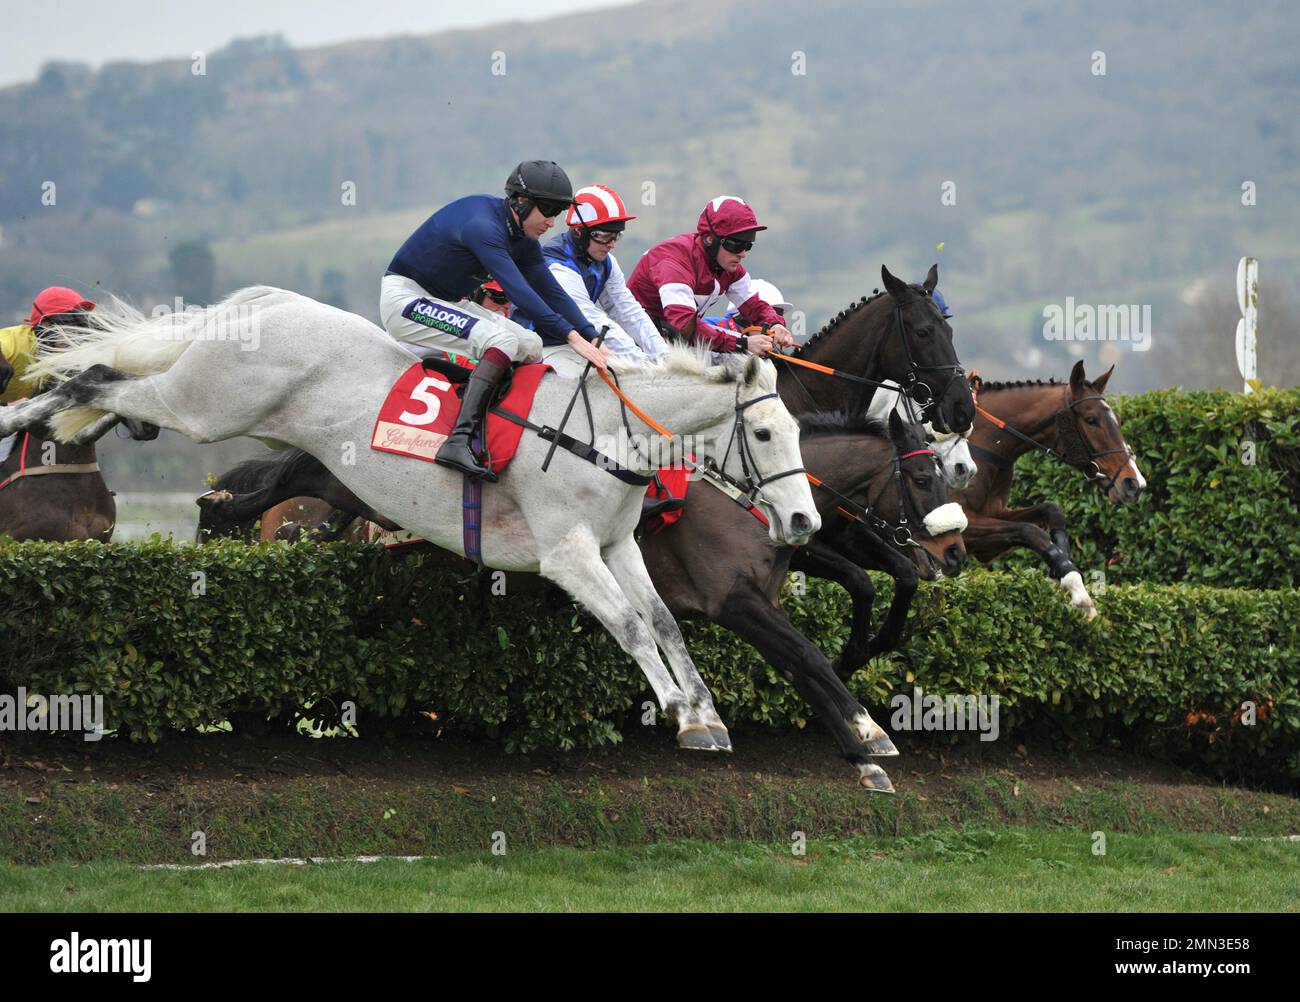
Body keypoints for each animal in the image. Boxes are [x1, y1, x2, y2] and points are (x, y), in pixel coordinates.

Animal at [10, 288, 821, 753]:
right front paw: (682, 711)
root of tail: (265, 305)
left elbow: (664, 623)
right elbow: (626, 626)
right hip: (208, 407)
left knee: (111, 388)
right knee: (99, 378)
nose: (805, 521)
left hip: (212, 407)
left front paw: (704, 713)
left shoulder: (619, 543)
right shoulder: (566, 554)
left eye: (798, 430)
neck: (608, 433)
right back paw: (19, 416)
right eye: (764, 434)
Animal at [956, 361, 1149, 618]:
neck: (982, 445)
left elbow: (1051, 510)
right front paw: (1079, 591)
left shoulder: (994, 515)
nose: (1135, 484)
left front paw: (1057, 576)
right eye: (1091, 420)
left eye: (1117, 418)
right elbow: (1030, 531)